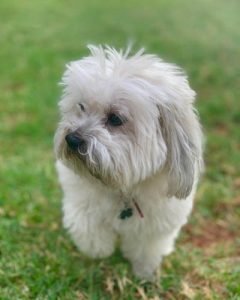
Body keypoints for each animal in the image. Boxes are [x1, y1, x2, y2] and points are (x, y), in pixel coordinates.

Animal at [54, 45, 202, 280]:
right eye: (81, 107)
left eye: (115, 119)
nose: (72, 138)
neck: (124, 187)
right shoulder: (82, 205)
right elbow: (90, 232)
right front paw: (98, 253)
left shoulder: (156, 225)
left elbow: (145, 249)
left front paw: (145, 272)